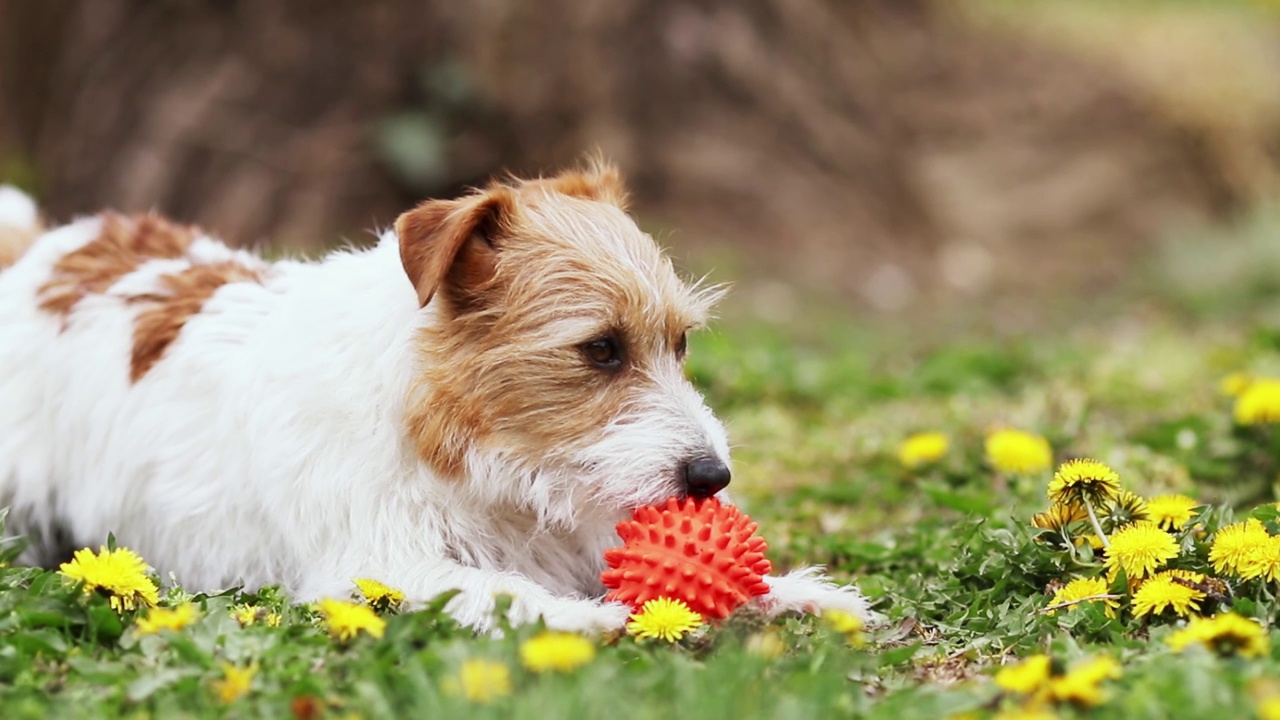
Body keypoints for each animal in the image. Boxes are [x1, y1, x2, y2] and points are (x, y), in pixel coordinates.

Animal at [0, 161, 870, 627]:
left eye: (681, 344)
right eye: (601, 349)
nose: (711, 478)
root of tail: (40, 248)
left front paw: (795, 593)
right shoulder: (375, 564)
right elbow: (502, 589)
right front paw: (585, 620)